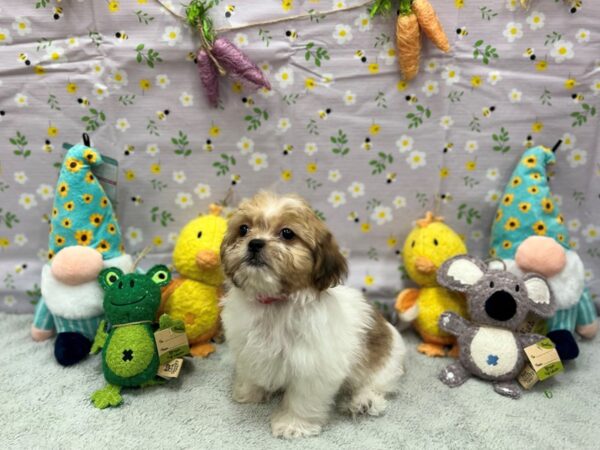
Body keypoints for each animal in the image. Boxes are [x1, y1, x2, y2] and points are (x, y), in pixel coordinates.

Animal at [220, 192, 408, 438]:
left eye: (287, 233)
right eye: (243, 229)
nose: (255, 243)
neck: (275, 303)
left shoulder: (313, 365)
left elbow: (303, 399)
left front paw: (293, 424)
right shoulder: (247, 349)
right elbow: (251, 372)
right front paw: (249, 393)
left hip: (384, 365)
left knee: (376, 385)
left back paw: (363, 402)